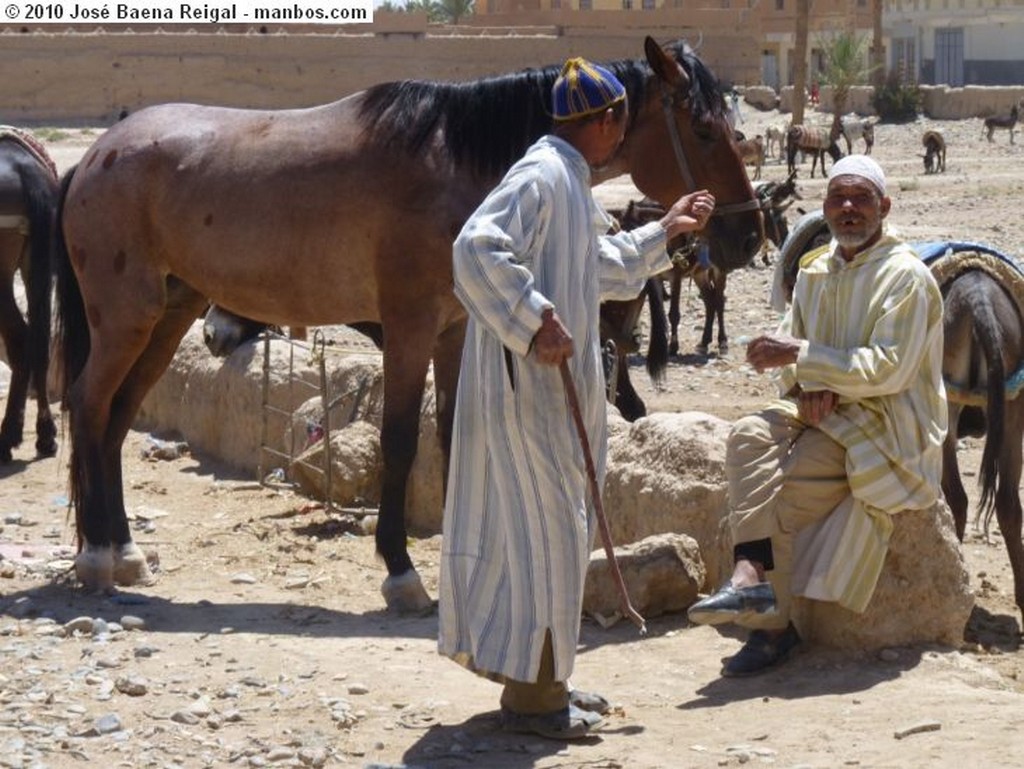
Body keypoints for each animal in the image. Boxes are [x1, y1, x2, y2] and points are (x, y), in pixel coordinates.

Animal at [54, 37, 761, 614]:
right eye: (703, 128)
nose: (748, 234)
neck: (454, 165)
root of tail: (93, 156)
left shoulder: (453, 332)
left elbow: (447, 435)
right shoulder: (409, 328)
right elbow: (399, 441)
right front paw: (401, 573)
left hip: (167, 318)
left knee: (117, 418)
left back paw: (123, 549)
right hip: (126, 322)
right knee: (88, 406)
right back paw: (97, 558)